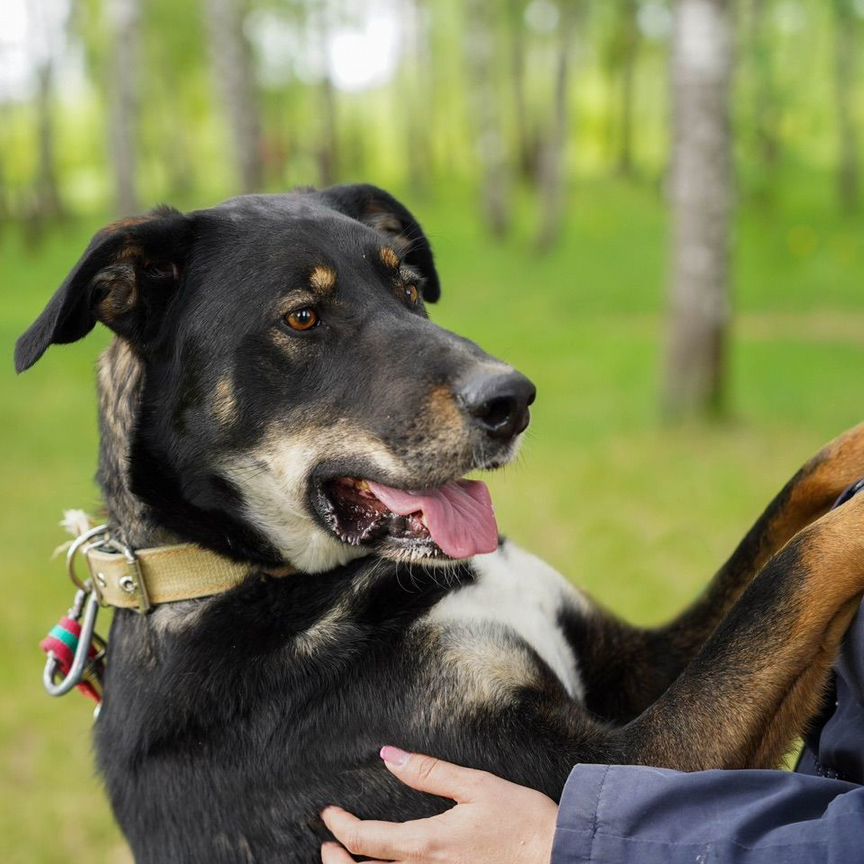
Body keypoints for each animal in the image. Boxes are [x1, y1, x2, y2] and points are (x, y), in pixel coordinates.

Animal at [15, 182, 864, 864]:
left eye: (411, 288)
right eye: (302, 316)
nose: (514, 400)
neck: (262, 580)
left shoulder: (635, 667)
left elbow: (791, 512)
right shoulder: (627, 759)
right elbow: (798, 568)